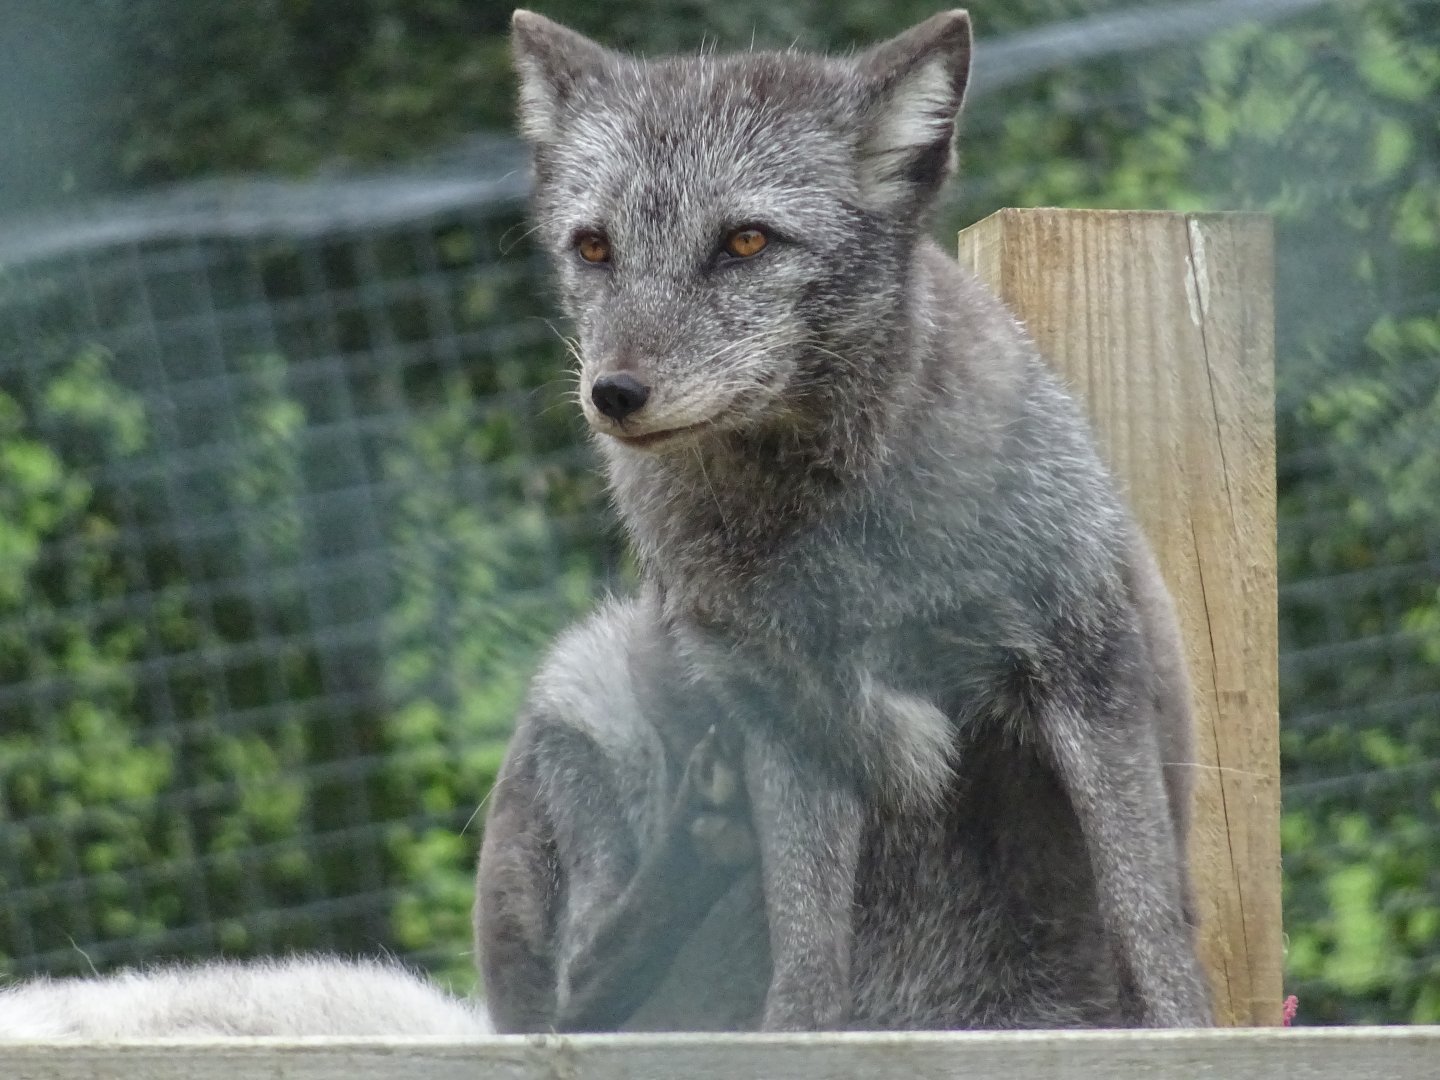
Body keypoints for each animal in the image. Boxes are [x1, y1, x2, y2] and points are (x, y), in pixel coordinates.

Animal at [474, 8, 1212, 1033]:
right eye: (593, 248)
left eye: (746, 242)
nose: (613, 394)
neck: (834, 541)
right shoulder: (791, 712)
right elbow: (810, 947)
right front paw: (795, 1037)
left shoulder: (1085, 657)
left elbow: (1146, 910)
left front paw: (1189, 1026)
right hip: (588, 674)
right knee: (577, 990)